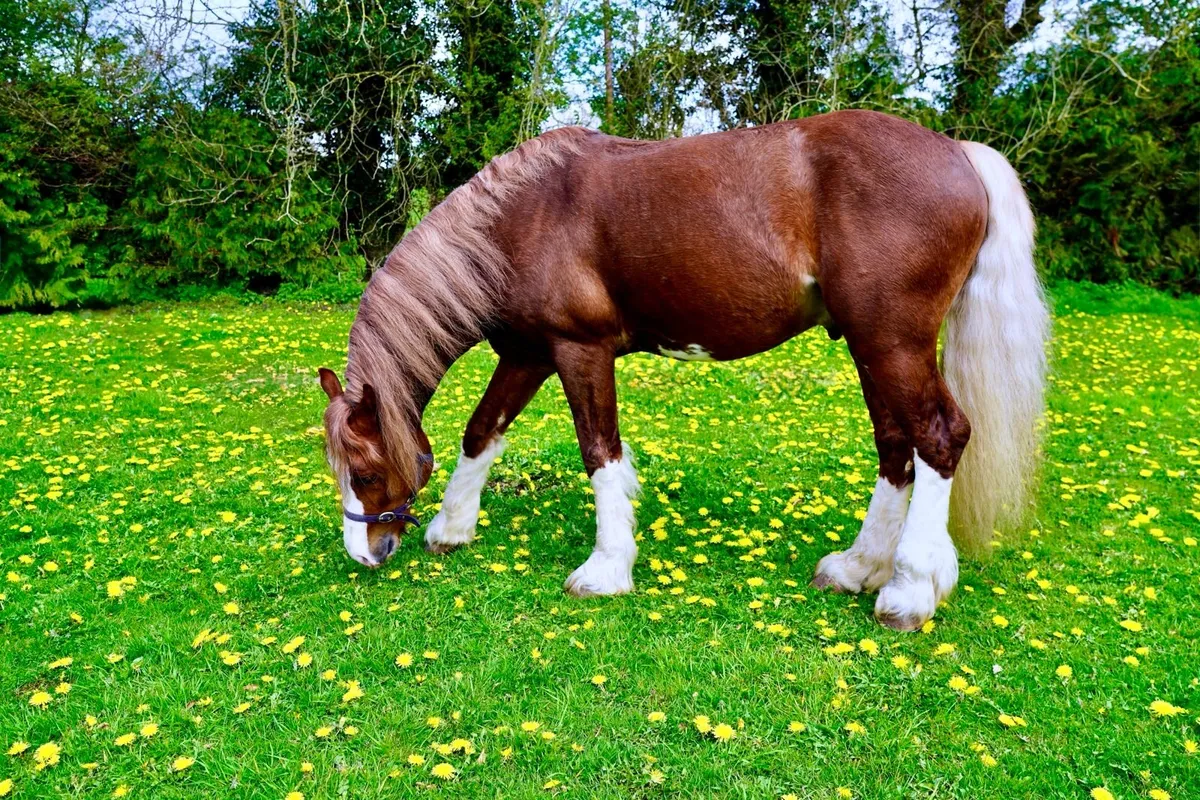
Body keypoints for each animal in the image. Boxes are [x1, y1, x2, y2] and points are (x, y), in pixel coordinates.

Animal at [318, 109, 1050, 631]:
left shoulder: (578, 350)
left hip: (892, 341)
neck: (519, 221)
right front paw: (451, 529)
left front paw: (605, 571)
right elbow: (481, 433)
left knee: (939, 438)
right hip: (874, 348)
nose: (364, 554)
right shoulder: (527, 354)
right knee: (896, 447)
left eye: (366, 473)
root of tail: (959, 151)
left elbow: (600, 453)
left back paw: (909, 592)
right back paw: (856, 568)